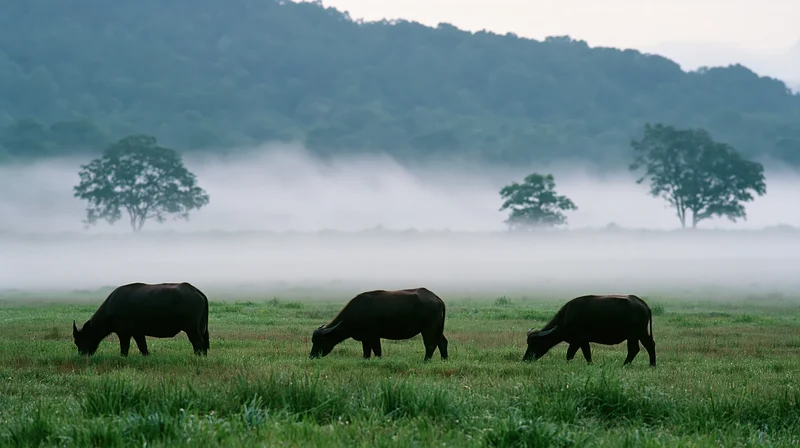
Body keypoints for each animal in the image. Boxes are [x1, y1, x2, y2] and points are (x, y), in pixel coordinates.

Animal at [72, 282, 210, 357]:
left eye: (81, 340)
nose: (82, 354)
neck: (112, 307)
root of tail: (196, 290)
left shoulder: (124, 333)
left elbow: (124, 349)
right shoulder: (138, 333)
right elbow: (143, 347)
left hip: (191, 329)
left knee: (198, 343)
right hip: (201, 328)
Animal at [309, 287, 448, 361]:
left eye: (320, 340)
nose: (311, 356)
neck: (358, 312)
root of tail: (437, 298)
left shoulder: (374, 336)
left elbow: (377, 352)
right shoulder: (365, 339)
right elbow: (366, 353)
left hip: (428, 328)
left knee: (430, 345)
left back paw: (425, 361)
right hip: (437, 329)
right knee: (442, 342)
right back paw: (444, 360)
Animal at [522, 294, 656, 366]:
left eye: (535, 343)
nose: (525, 359)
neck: (566, 317)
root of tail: (644, 304)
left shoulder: (581, 340)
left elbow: (583, 354)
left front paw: (590, 364)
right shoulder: (575, 342)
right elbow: (570, 355)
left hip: (634, 334)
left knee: (634, 349)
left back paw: (625, 365)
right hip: (641, 333)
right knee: (649, 345)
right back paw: (652, 365)